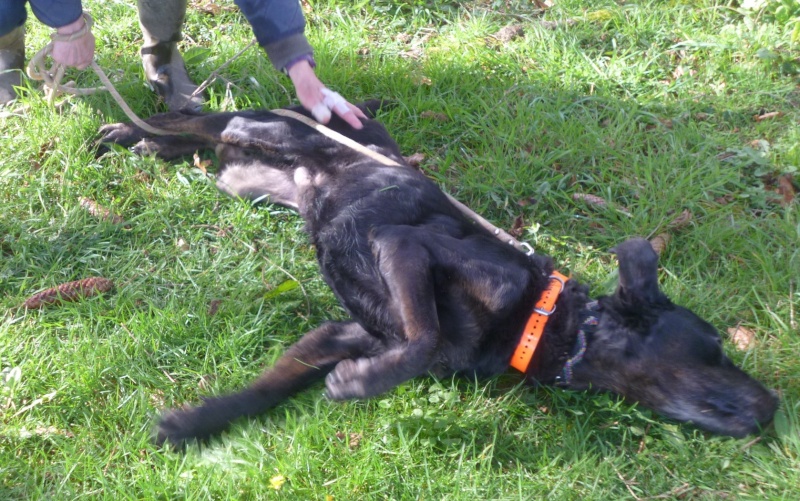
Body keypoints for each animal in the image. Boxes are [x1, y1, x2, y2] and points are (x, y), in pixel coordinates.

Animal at [97, 99, 780, 448]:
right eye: (716, 349)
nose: (775, 407)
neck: (539, 317)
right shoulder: (403, 247)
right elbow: (422, 341)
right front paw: (360, 385)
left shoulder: (345, 333)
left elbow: (272, 387)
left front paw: (196, 422)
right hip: (266, 128)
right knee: (195, 115)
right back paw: (124, 128)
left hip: (246, 177)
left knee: (202, 139)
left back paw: (150, 143)